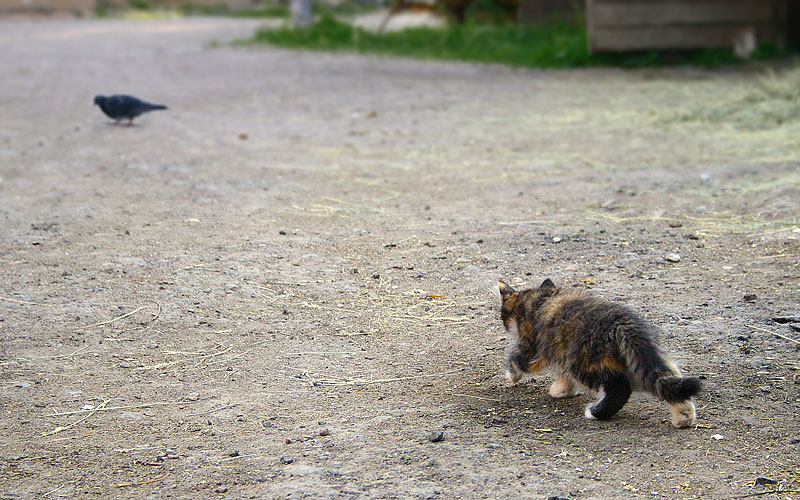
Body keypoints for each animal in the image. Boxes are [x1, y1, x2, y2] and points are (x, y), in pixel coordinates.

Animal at [496, 280, 704, 428]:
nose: (505, 325)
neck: (540, 298)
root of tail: (623, 323)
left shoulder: (532, 347)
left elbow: (516, 359)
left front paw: (511, 376)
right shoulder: (559, 351)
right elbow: (564, 376)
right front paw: (562, 390)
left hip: (585, 362)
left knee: (619, 388)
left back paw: (596, 412)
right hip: (649, 361)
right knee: (670, 381)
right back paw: (684, 417)